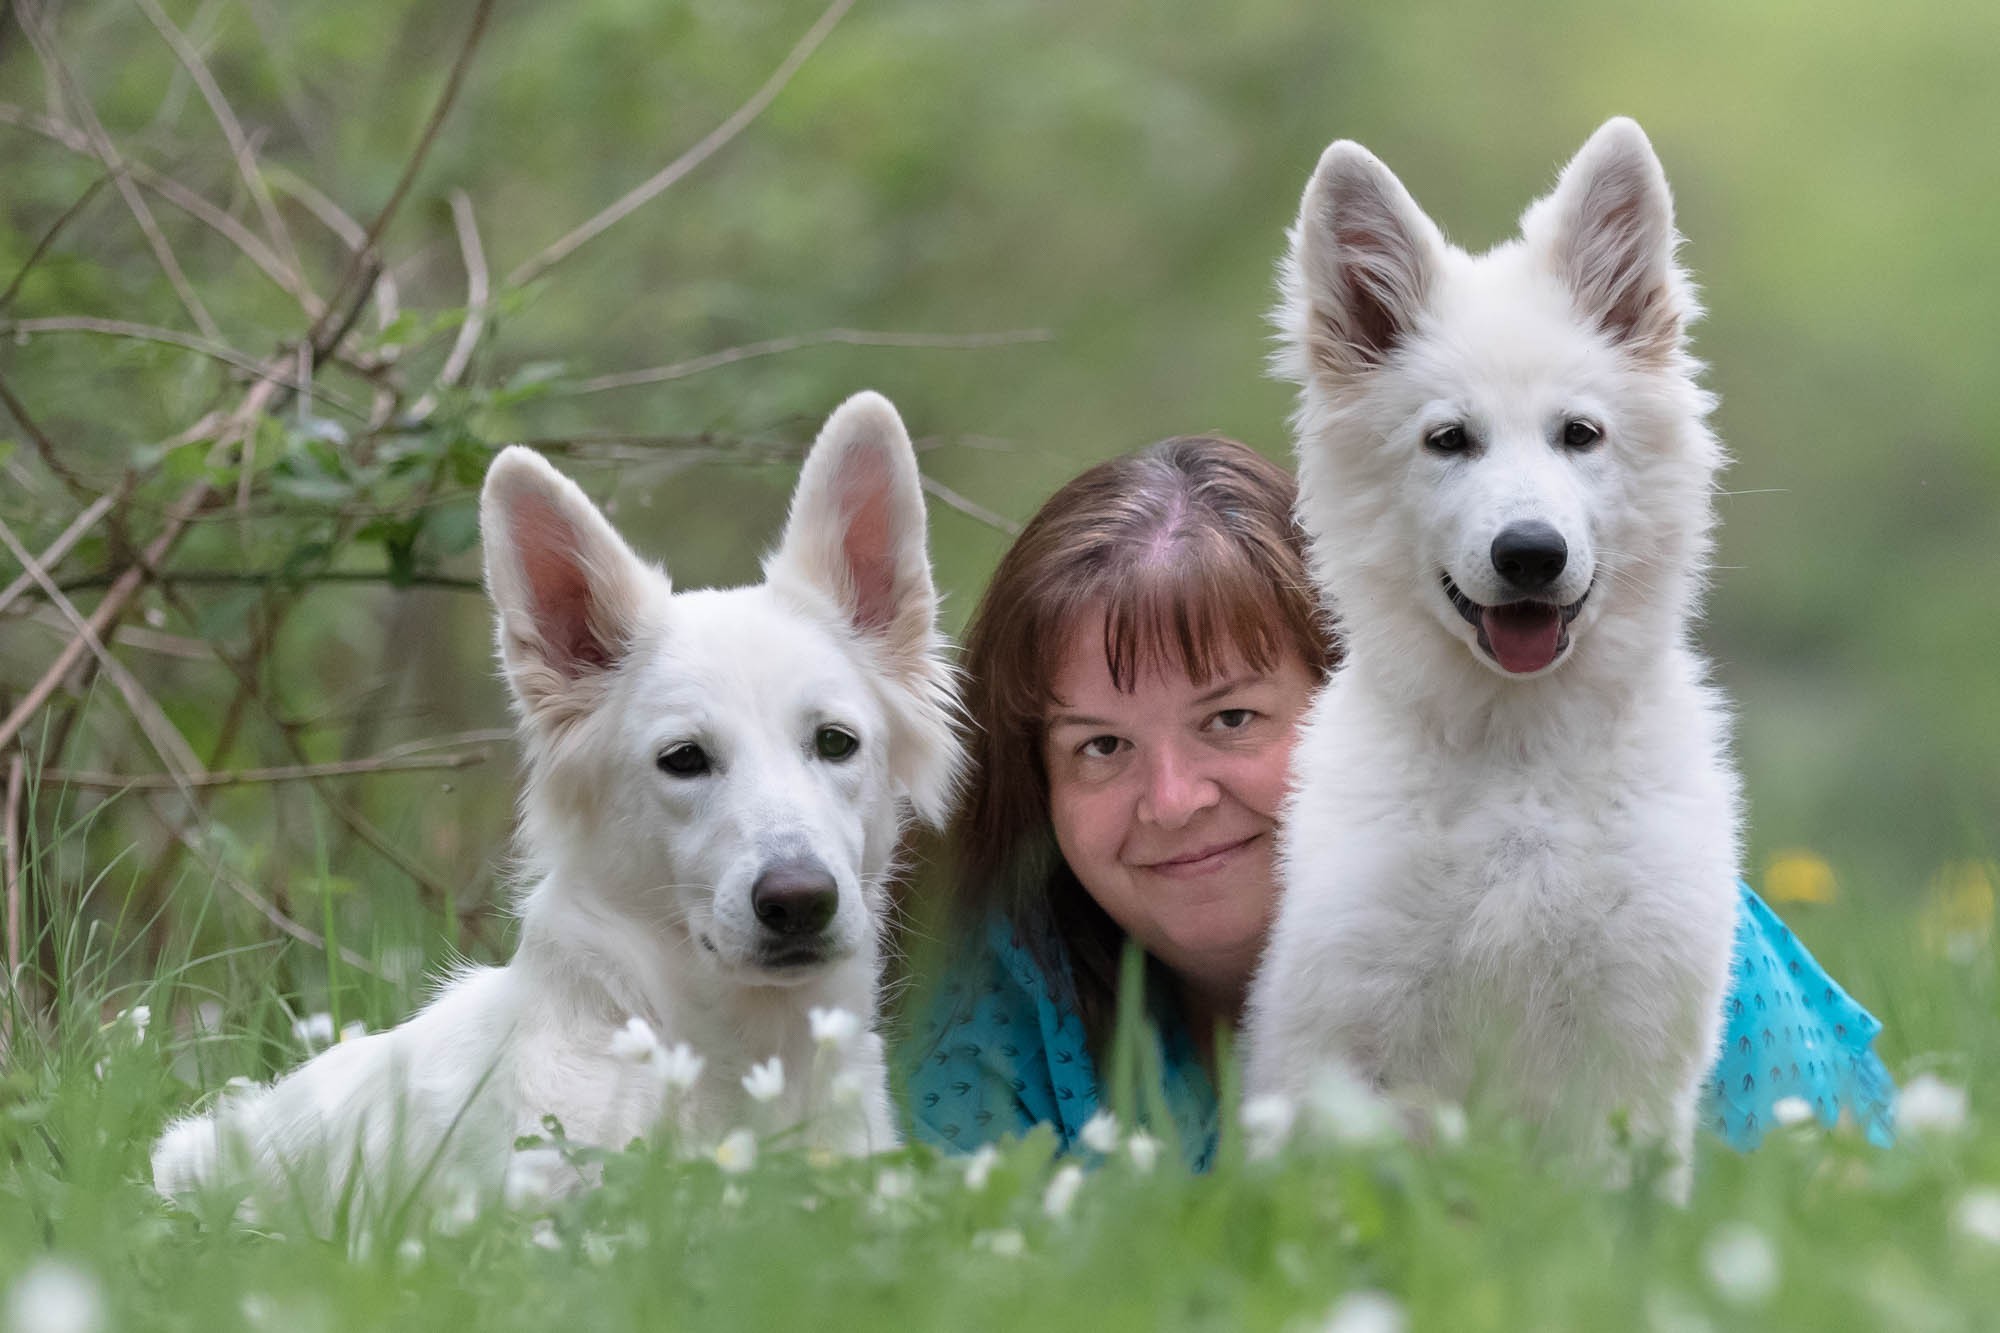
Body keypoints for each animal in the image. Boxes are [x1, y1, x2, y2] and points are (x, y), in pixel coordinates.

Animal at [1244, 119, 1740, 1187]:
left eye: (1580, 433)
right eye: (1448, 440)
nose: (1530, 554)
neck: (1519, 762)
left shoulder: (1629, 1046)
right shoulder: (1350, 1036)